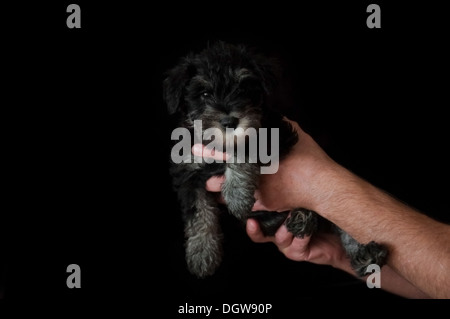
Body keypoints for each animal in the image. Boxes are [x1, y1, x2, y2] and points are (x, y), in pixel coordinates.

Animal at [163, 41, 388, 278]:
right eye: (204, 93)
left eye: (243, 89)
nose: (229, 122)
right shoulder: (188, 173)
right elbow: (198, 214)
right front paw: (202, 254)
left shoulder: (275, 133)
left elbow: (243, 145)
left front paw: (236, 194)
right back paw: (304, 220)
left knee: (341, 222)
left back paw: (365, 254)